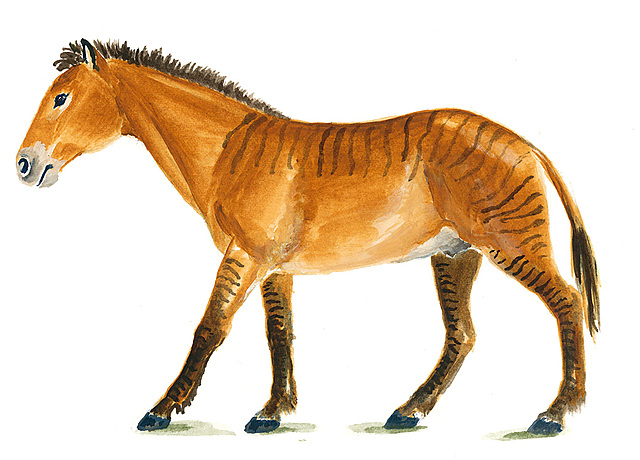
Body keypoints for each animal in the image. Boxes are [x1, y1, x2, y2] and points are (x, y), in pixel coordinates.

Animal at [16, 39, 599, 435]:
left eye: (61, 98)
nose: (24, 165)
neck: (225, 151)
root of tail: (524, 142)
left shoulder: (246, 256)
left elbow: (210, 328)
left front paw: (162, 410)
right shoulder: (274, 268)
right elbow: (279, 335)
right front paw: (272, 413)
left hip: (510, 245)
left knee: (567, 303)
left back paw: (554, 415)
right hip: (457, 254)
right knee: (462, 335)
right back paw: (407, 412)